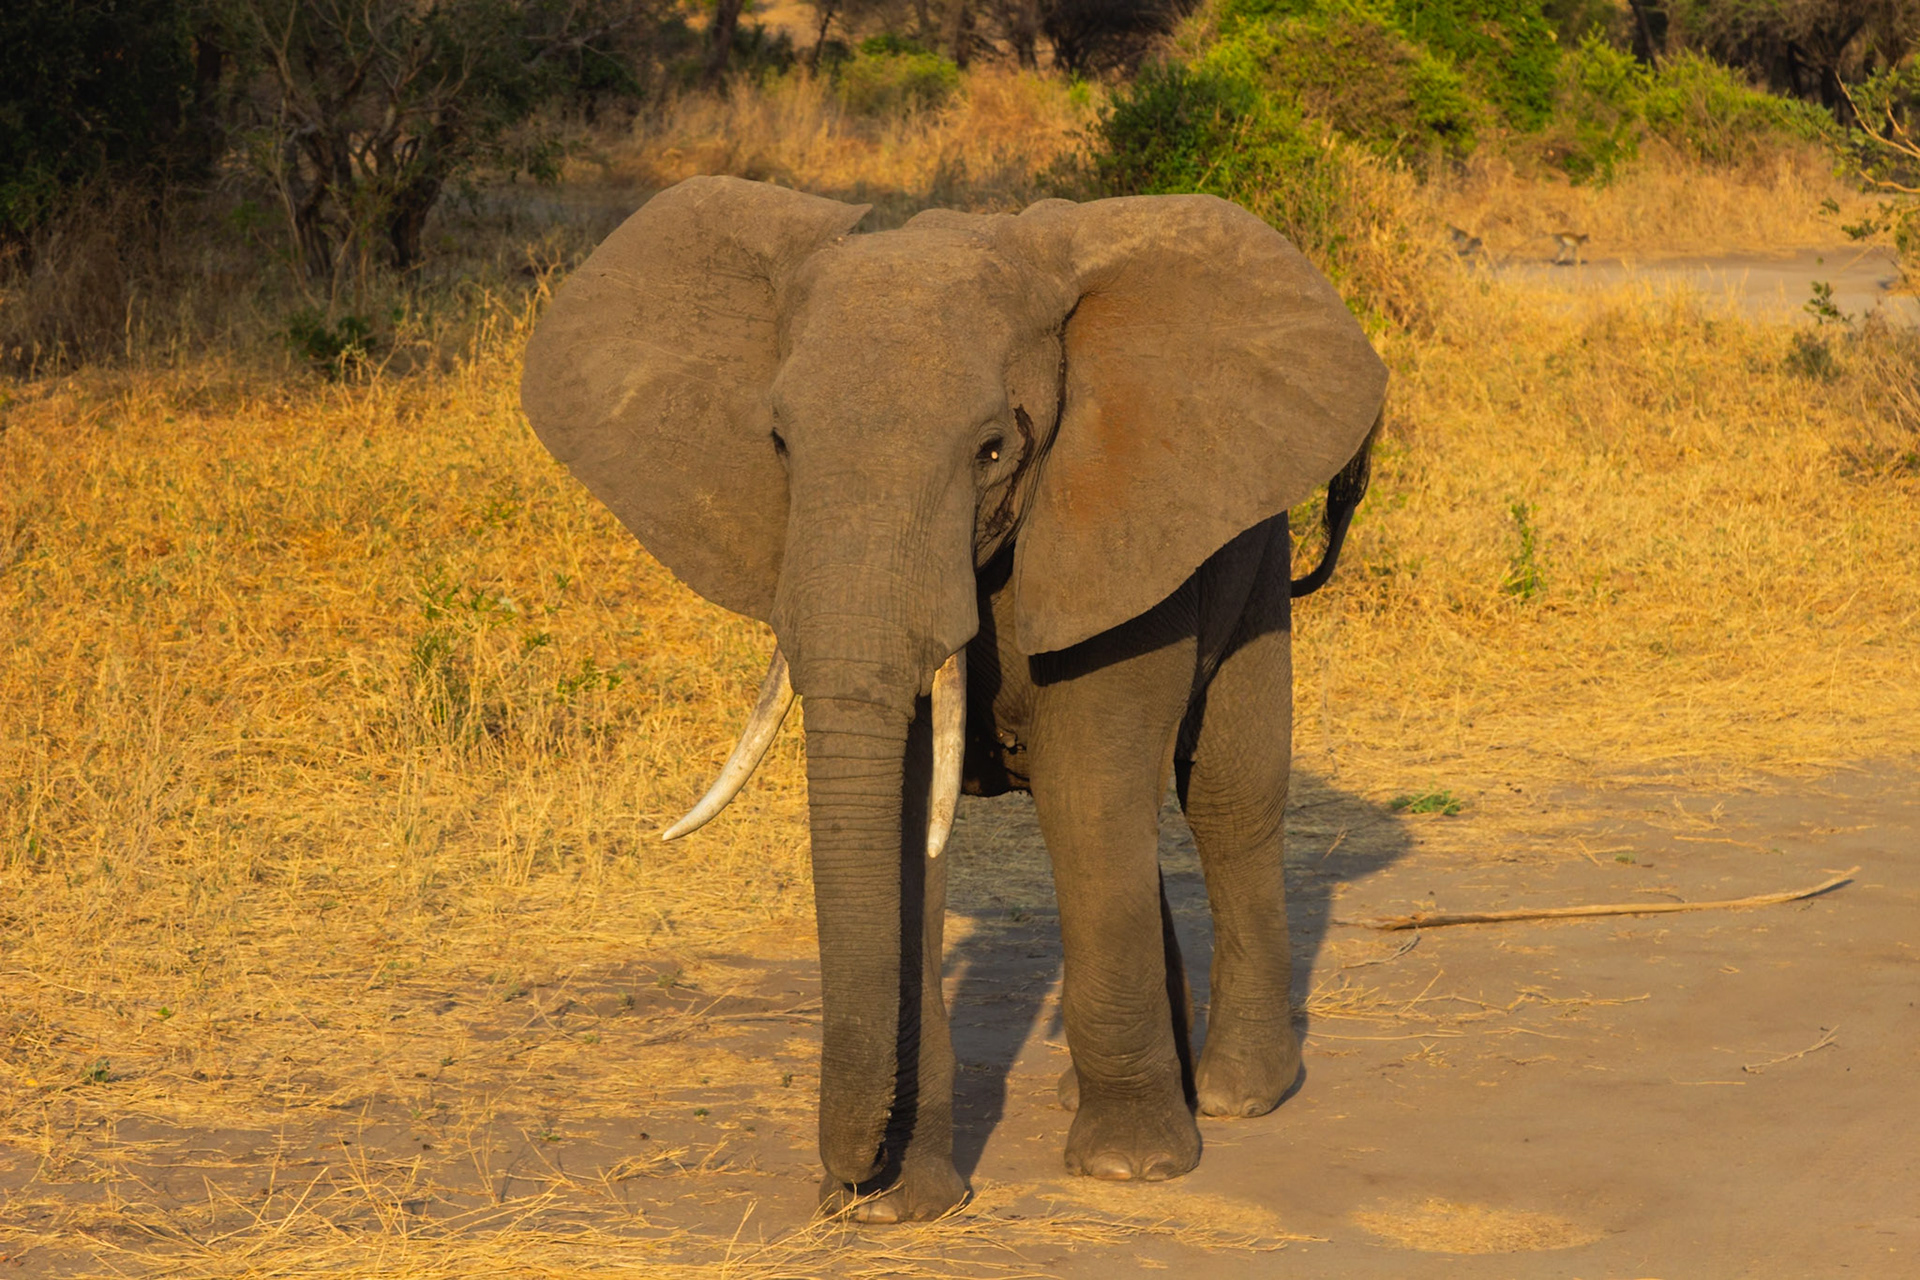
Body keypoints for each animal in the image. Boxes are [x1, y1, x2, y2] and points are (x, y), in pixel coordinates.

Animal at [519, 176, 1387, 1222]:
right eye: (778, 442)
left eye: (992, 450)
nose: (845, 1185)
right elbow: (901, 820)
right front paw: (901, 1205)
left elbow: (1088, 791)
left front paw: (1129, 1168)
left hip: (1249, 539)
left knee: (1225, 797)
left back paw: (1236, 1093)